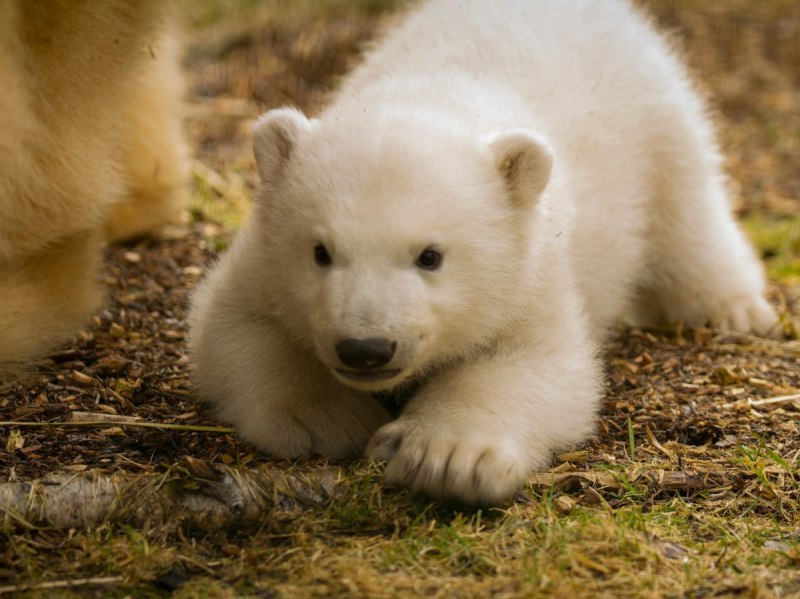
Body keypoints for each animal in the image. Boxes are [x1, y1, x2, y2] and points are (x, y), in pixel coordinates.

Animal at [189, 0, 780, 505]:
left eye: (430, 256)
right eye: (320, 251)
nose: (366, 348)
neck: (431, 95)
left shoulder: (533, 270)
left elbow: (538, 363)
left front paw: (447, 455)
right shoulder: (262, 260)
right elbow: (231, 324)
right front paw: (328, 418)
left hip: (657, 115)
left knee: (688, 211)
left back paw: (736, 308)